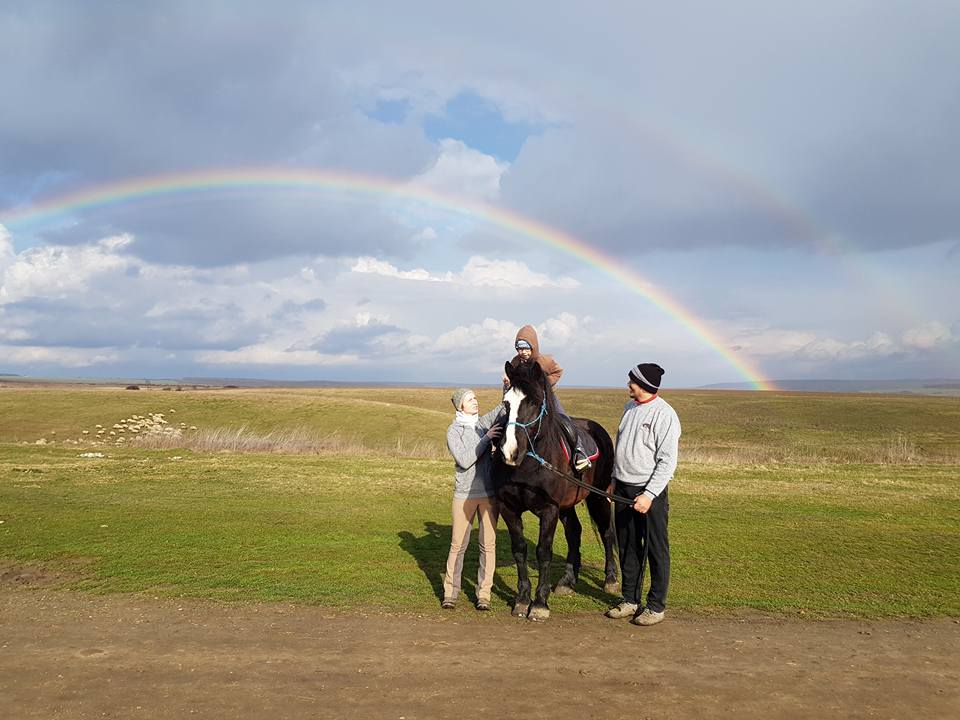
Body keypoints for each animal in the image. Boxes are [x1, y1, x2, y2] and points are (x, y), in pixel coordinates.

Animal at [492, 360, 620, 620]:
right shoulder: (508, 508)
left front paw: (540, 603)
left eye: (533, 402)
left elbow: (543, 552)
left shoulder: (549, 509)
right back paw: (567, 581)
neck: (529, 465)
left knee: (606, 532)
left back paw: (610, 579)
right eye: (506, 403)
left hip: (598, 497)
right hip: (567, 505)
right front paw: (522, 599)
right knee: (574, 531)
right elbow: (519, 550)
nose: (510, 452)